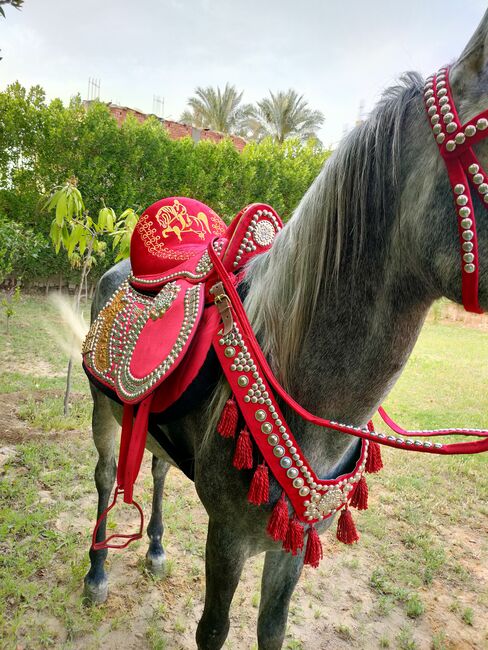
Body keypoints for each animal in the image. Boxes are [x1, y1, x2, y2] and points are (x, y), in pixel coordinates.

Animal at [82, 16, 486, 648]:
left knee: (158, 467)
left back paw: (155, 549)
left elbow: (271, 628)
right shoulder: (228, 537)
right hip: (105, 410)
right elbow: (214, 629)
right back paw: (97, 572)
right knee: (105, 478)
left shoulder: (290, 545)